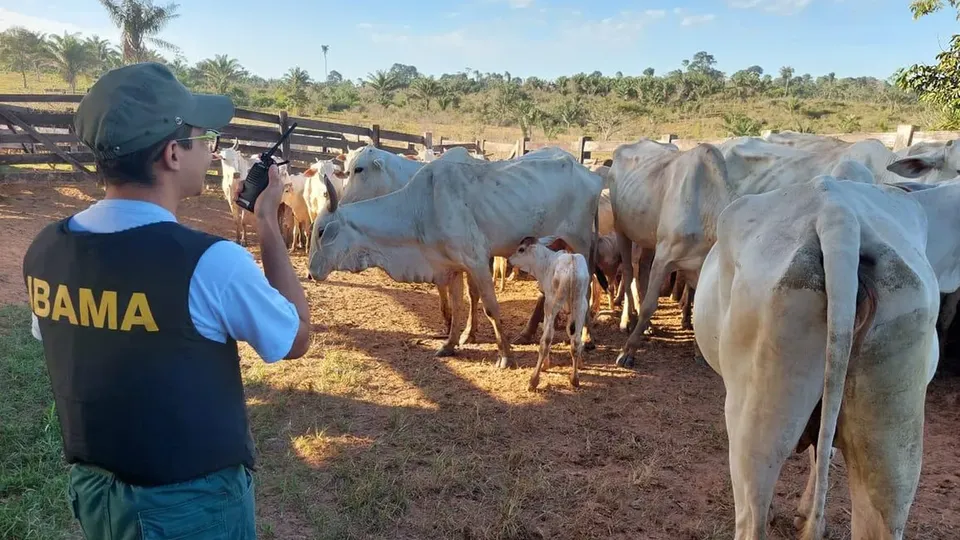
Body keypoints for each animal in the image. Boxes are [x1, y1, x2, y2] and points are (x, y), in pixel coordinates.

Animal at [308, 147, 600, 368]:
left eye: (321, 232)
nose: (310, 273)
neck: (420, 208)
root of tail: (588, 173)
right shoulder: (453, 266)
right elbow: (458, 304)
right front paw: (450, 343)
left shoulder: (477, 261)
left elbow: (490, 307)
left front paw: (505, 355)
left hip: (581, 243)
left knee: (586, 291)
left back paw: (586, 338)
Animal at [510, 235, 592, 388]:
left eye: (521, 249)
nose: (509, 259)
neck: (545, 261)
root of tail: (572, 264)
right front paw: (580, 364)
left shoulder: (548, 302)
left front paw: (545, 365)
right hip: (580, 305)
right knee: (576, 340)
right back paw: (574, 378)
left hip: (552, 304)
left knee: (546, 340)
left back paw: (534, 380)